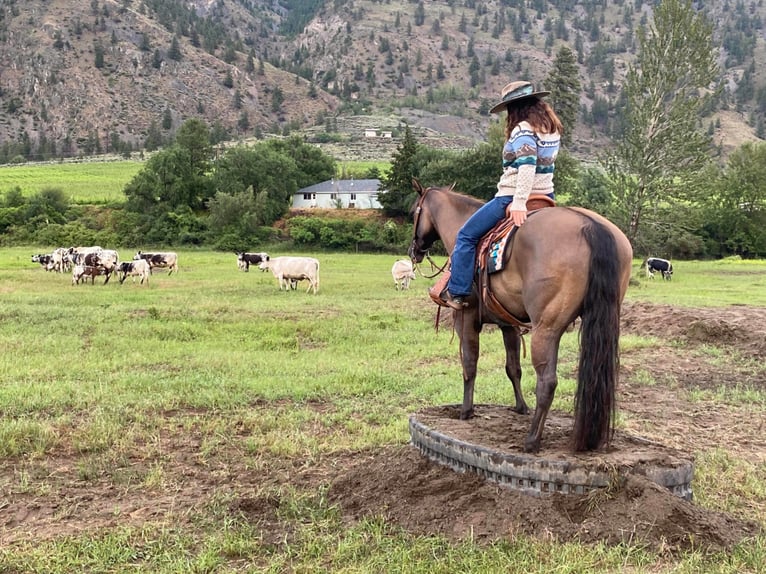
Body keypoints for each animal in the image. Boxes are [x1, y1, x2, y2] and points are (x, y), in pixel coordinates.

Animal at [408, 181, 636, 454]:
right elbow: (513, 368)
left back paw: (532, 440)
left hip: (546, 329)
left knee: (547, 382)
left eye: (413, 213)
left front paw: (466, 411)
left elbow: (470, 365)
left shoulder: (465, 317)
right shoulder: (509, 325)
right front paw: (520, 407)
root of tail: (592, 226)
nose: (414, 251)